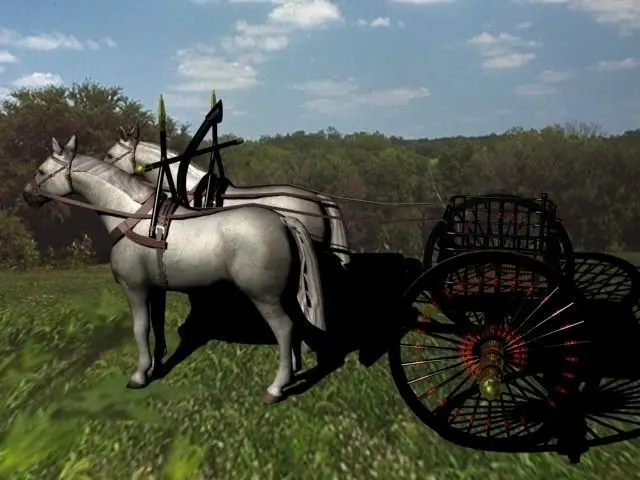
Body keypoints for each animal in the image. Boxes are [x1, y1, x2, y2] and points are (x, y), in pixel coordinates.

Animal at [23, 135, 326, 403]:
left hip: (264, 296)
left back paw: (276, 388)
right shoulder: (156, 290)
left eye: (42, 171)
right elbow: (156, 326)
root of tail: (283, 220)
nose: (27, 194)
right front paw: (155, 366)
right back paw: (294, 372)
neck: (132, 217)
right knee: (295, 326)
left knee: (284, 329)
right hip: (284, 294)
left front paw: (139, 375)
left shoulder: (134, 289)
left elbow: (140, 328)